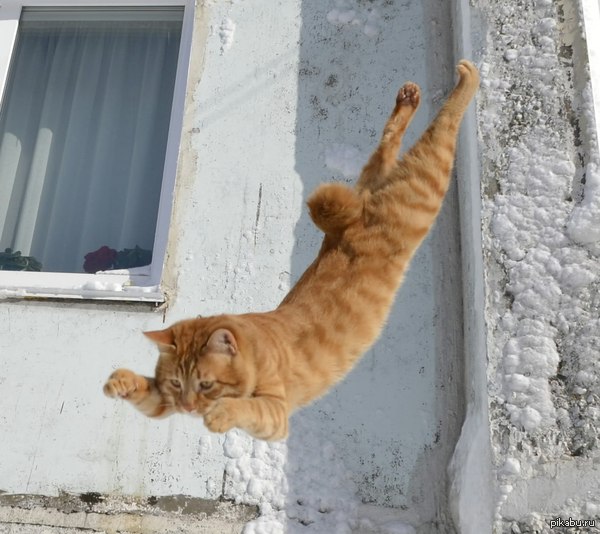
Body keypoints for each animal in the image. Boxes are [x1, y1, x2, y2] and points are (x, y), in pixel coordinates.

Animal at [103, 60, 478, 442]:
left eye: (206, 384)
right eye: (177, 384)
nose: (190, 407)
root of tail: (349, 221)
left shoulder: (275, 413)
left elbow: (247, 408)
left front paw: (222, 412)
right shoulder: (167, 403)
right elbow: (152, 398)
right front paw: (123, 382)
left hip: (422, 188)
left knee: (442, 129)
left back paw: (467, 80)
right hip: (373, 181)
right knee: (385, 148)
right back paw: (407, 101)